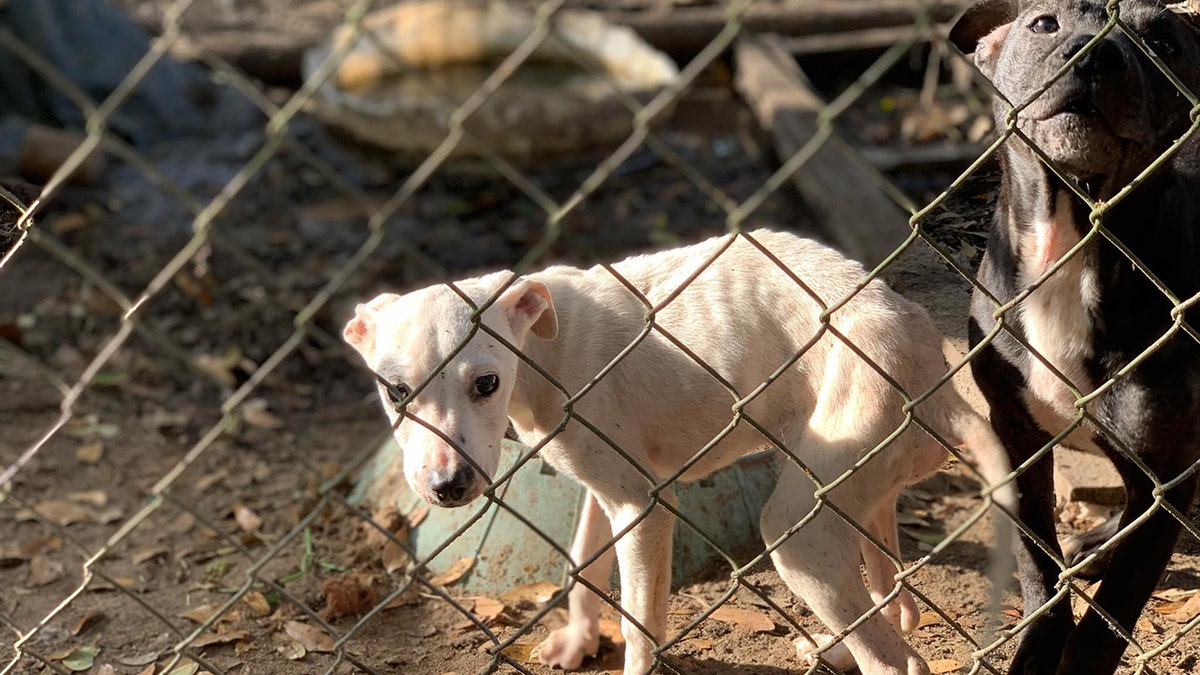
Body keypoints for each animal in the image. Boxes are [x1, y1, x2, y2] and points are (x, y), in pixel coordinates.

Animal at [348, 229, 1012, 672]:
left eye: (484, 383)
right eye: (395, 391)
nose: (449, 486)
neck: (539, 349)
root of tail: (939, 385)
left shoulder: (642, 507)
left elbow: (641, 626)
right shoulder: (602, 490)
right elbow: (582, 564)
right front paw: (578, 641)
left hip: (799, 531)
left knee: (898, 657)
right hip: (853, 496)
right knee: (896, 607)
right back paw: (835, 647)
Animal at [950, 1, 1195, 672]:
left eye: (1164, 43)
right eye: (1044, 23)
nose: (1094, 54)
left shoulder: (1169, 470)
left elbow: (1110, 618)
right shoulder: (1016, 434)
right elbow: (1038, 567)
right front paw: (1036, 645)